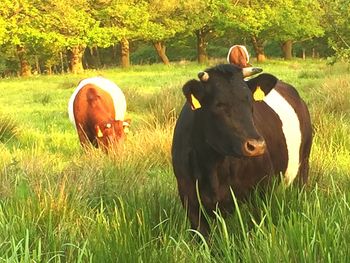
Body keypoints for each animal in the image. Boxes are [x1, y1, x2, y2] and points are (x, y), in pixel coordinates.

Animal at [172, 64, 312, 237]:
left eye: (251, 103)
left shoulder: (261, 191)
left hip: (304, 163)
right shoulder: (188, 196)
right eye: (218, 104)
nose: (257, 145)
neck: (213, 166)